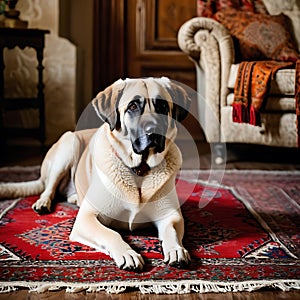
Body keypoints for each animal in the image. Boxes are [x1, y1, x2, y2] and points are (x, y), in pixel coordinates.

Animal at [0, 76, 192, 270]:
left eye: (162, 106)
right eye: (132, 107)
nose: (153, 131)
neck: (139, 170)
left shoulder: (171, 215)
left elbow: (171, 231)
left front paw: (176, 249)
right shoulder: (87, 218)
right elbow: (112, 234)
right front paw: (128, 253)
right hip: (69, 144)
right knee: (48, 189)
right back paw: (43, 202)